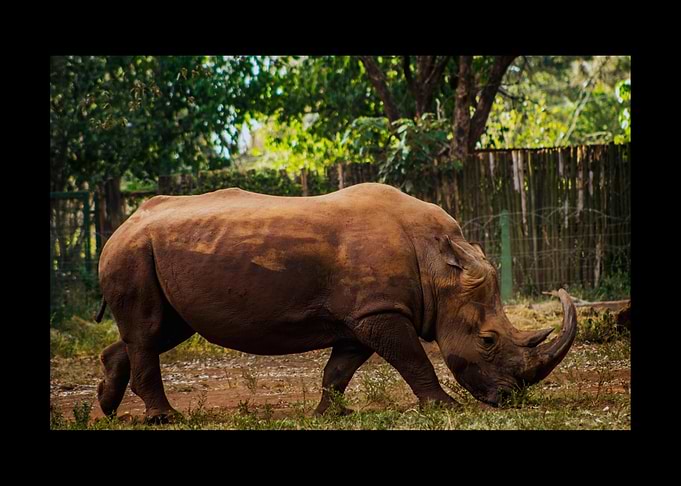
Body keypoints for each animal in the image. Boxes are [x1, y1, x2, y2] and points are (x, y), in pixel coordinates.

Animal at [95, 183, 577, 422]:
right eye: (489, 340)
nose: (509, 399)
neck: (439, 267)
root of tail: (122, 224)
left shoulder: (363, 315)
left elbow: (340, 369)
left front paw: (329, 413)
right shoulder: (380, 310)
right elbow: (414, 359)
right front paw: (445, 408)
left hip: (153, 253)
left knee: (164, 329)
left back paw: (106, 406)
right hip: (132, 252)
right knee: (149, 330)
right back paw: (164, 418)